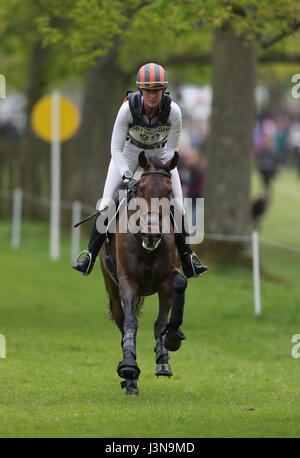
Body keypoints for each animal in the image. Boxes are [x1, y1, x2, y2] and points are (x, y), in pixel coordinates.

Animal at [99, 150, 186, 394]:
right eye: (141, 190)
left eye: (168, 191)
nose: (152, 235)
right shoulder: (128, 281)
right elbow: (131, 322)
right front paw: (129, 366)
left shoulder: (166, 280)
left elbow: (163, 318)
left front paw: (168, 347)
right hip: (111, 286)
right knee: (121, 322)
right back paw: (130, 381)